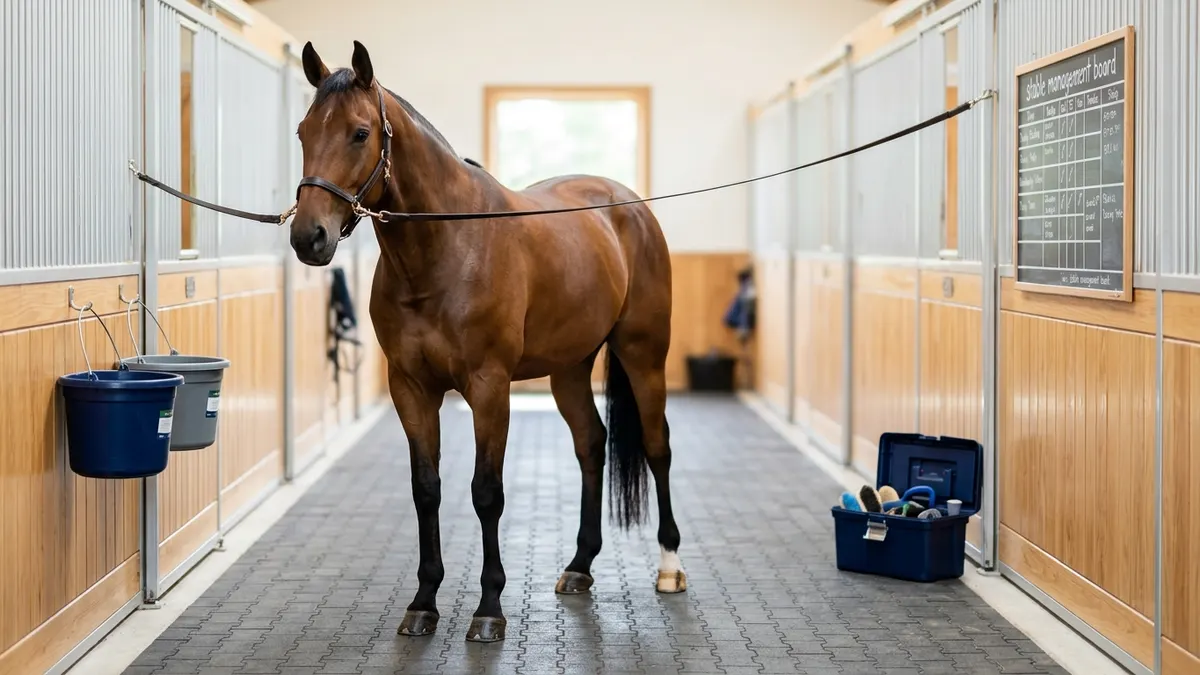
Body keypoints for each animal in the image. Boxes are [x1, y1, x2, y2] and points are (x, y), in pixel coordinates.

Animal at [288, 40, 686, 643]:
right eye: (303, 132)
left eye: (359, 132)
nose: (308, 237)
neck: (445, 250)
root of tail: (627, 203)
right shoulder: (411, 387)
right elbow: (426, 488)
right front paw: (424, 602)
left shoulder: (489, 387)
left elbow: (486, 492)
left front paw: (489, 608)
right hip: (569, 367)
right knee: (591, 443)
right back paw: (579, 566)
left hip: (644, 353)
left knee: (657, 446)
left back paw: (669, 567)